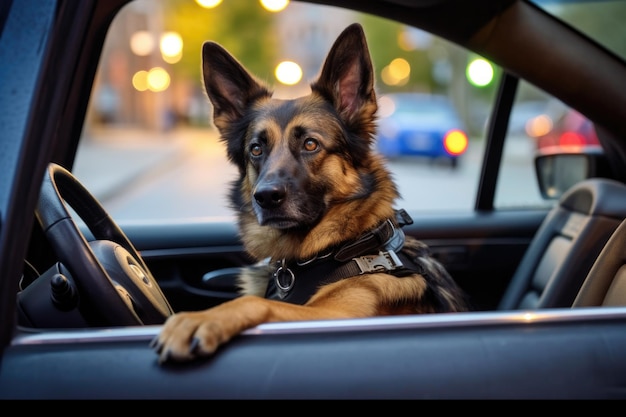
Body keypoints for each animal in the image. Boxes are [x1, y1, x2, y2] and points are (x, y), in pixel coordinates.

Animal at [154, 22, 468, 362]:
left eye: (310, 144)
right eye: (256, 149)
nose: (266, 197)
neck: (337, 249)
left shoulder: (338, 316)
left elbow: (258, 302)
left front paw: (202, 318)